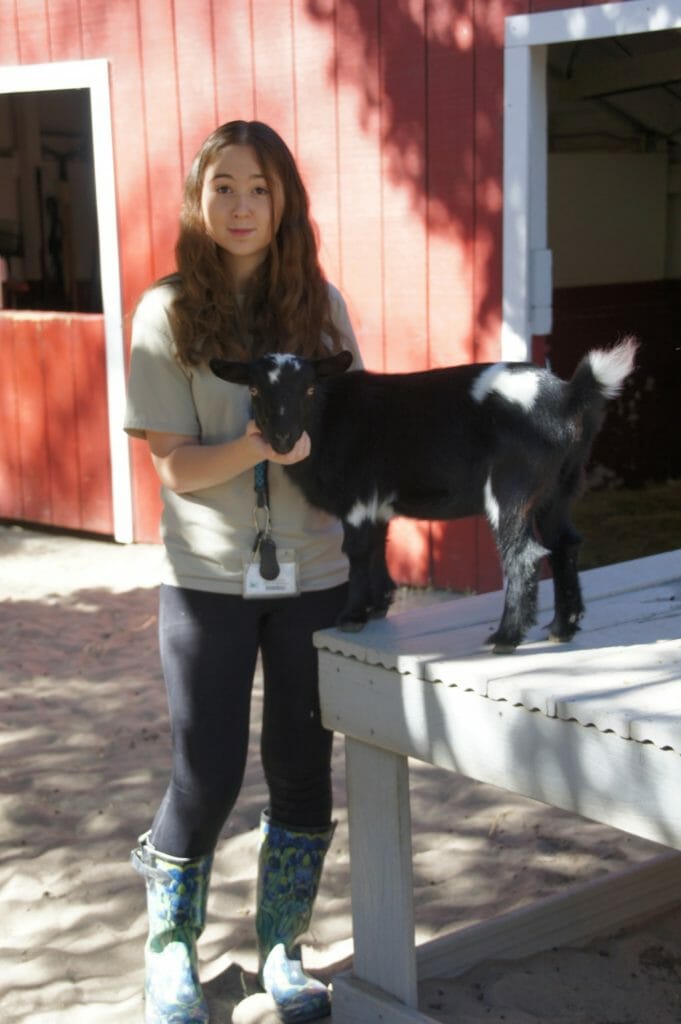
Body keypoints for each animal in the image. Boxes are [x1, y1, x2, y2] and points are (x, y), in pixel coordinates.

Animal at [209, 339, 634, 651]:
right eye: (253, 389)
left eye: (310, 388)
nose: (282, 438)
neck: (328, 419)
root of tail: (570, 395)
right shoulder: (378, 502)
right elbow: (379, 547)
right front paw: (378, 606)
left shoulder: (358, 496)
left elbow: (357, 552)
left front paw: (351, 617)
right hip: (560, 486)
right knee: (565, 544)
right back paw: (562, 627)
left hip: (512, 487)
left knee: (524, 555)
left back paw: (506, 637)